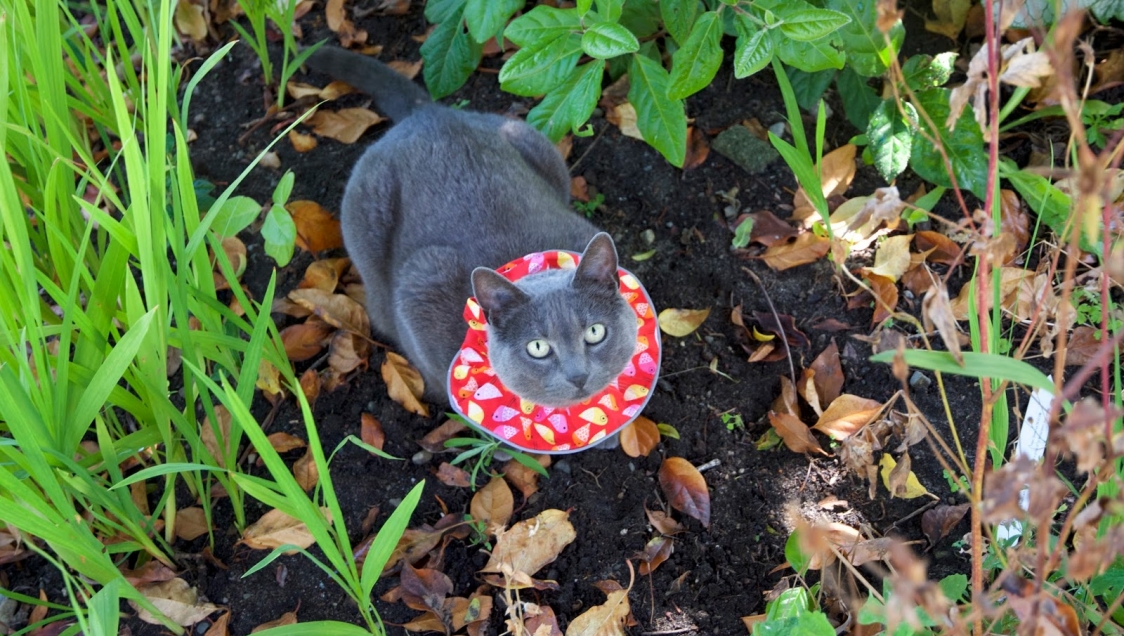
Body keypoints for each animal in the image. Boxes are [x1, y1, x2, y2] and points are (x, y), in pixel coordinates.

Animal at [307, 48, 638, 409]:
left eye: (595, 332)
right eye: (538, 348)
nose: (578, 376)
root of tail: (429, 114)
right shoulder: (421, 286)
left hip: (531, 140)